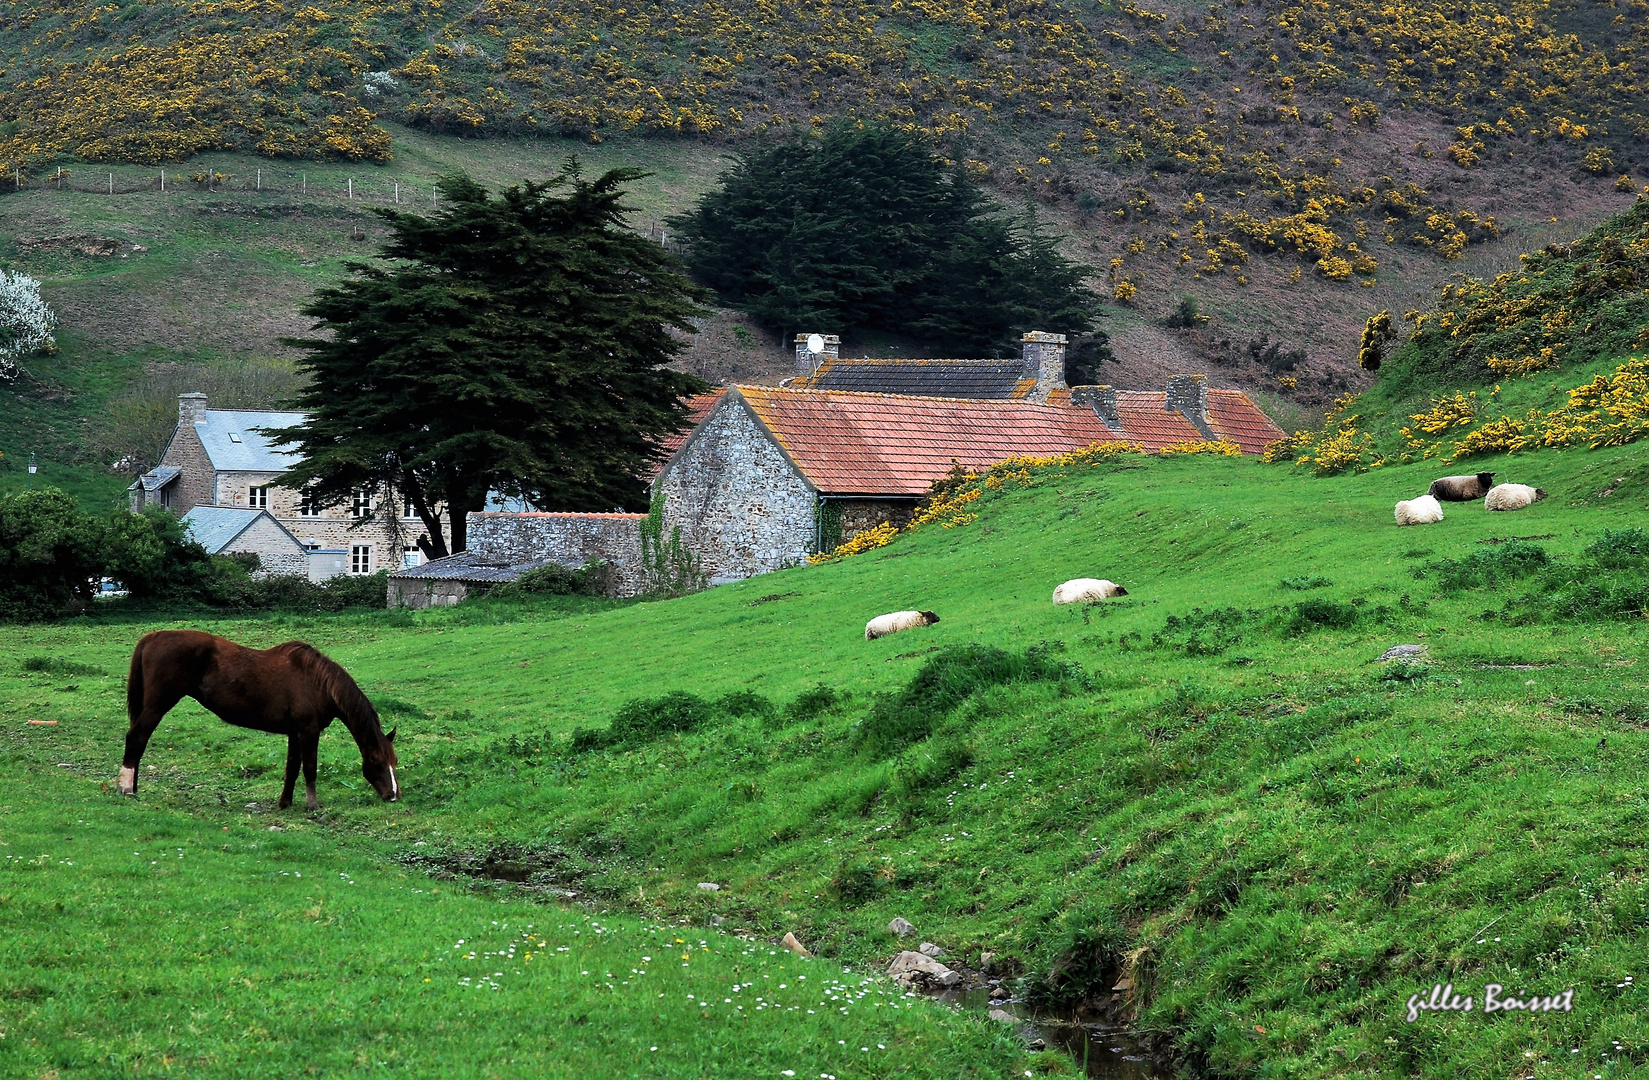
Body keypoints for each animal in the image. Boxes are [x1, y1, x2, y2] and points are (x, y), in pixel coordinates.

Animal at [120, 633, 400, 811]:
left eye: (395, 762)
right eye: (376, 761)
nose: (393, 796)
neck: (318, 683)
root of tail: (153, 637)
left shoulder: (294, 733)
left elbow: (292, 767)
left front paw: (285, 803)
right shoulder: (309, 731)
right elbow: (309, 767)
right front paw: (313, 805)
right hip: (158, 705)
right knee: (136, 738)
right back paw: (126, 789)